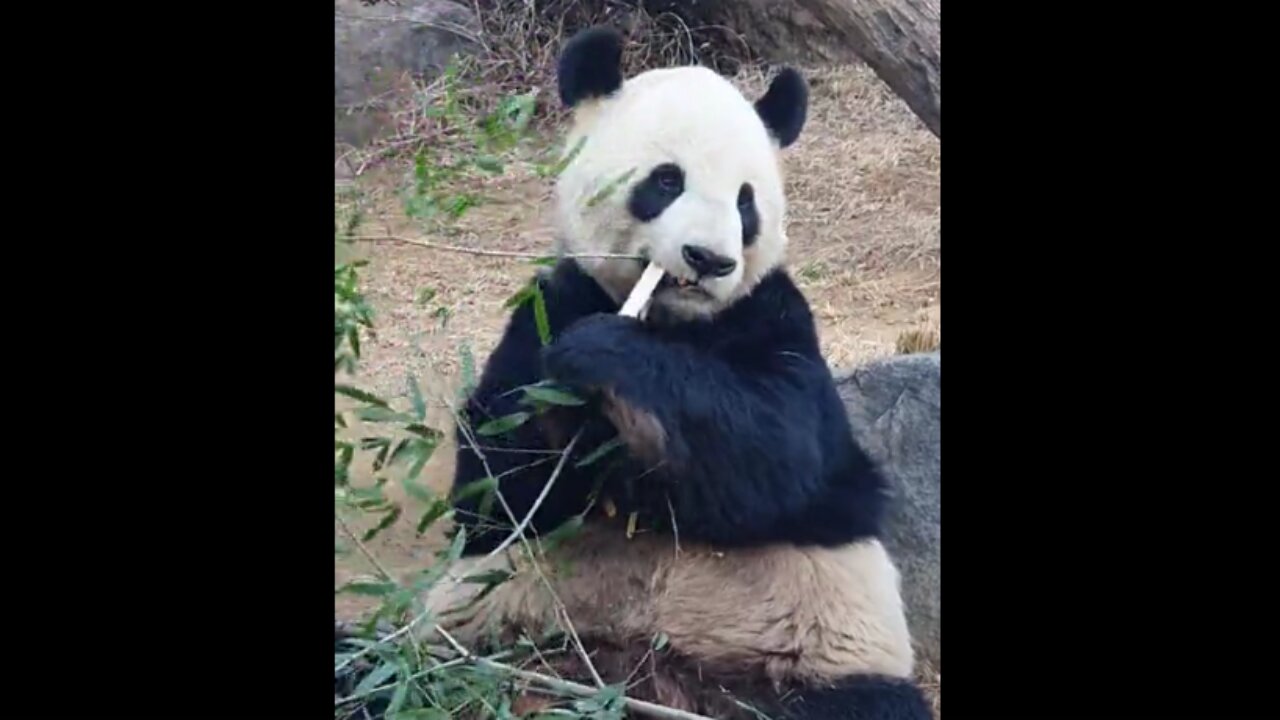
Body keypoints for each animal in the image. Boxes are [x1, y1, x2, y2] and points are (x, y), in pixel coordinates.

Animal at [419, 26, 931, 717]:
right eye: (666, 181)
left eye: (746, 203)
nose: (708, 259)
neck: (672, 319)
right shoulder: (547, 309)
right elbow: (496, 487)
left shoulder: (775, 318)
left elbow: (779, 449)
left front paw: (604, 354)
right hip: (491, 635)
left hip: (815, 654)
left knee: (865, 703)